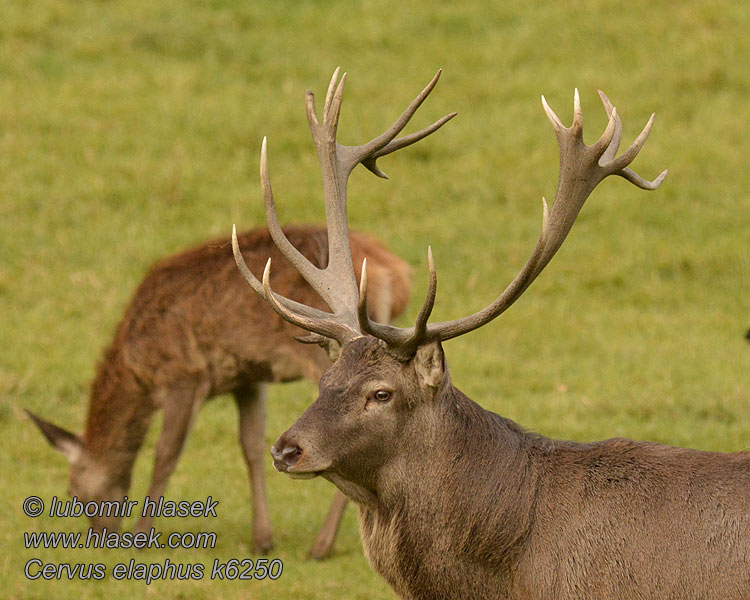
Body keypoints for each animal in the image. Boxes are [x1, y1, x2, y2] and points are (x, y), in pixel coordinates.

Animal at [26, 224, 412, 556]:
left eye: (73, 493)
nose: (101, 538)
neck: (140, 366)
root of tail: (393, 272)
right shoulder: (247, 377)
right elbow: (252, 447)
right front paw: (263, 539)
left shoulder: (184, 374)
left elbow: (166, 454)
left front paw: (141, 535)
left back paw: (322, 545)